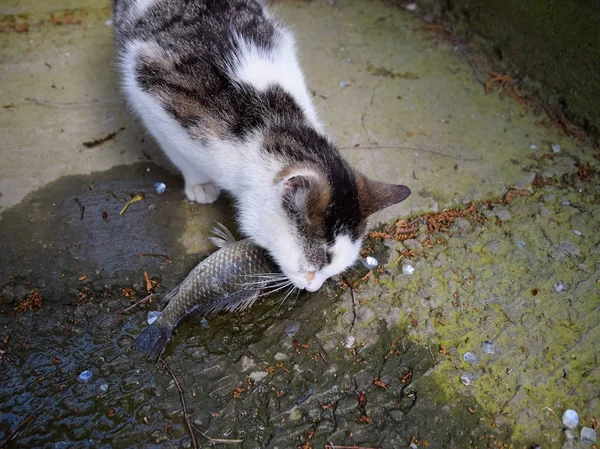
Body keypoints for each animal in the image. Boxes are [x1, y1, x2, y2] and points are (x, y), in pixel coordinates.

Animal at [113, 0, 410, 290]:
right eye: (310, 268)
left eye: (331, 271)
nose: (313, 288)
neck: (273, 121)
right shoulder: (151, 101)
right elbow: (179, 154)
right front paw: (199, 183)